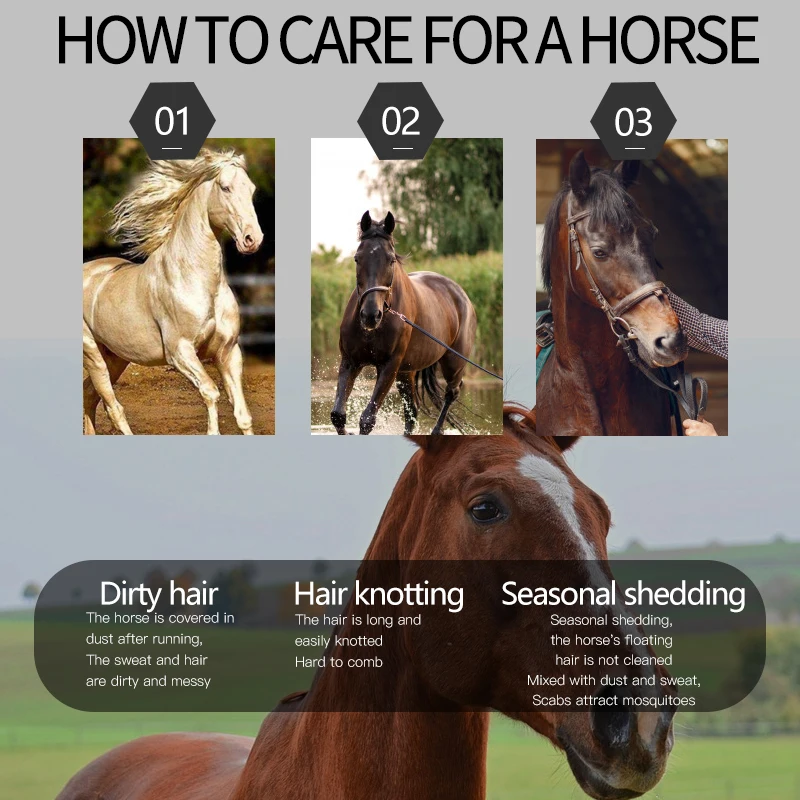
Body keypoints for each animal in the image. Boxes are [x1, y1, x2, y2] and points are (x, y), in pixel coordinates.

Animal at [82, 149, 263, 435]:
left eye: (252, 189)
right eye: (225, 187)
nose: (252, 239)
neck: (197, 282)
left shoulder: (228, 352)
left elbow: (243, 415)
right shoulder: (180, 352)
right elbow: (210, 392)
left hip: (116, 357)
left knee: (89, 394)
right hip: (93, 354)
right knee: (113, 407)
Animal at [330, 211, 478, 435]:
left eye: (391, 260)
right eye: (357, 258)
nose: (370, 315)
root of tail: (461, 294)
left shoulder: (389, 366)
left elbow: (367, 419)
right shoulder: (350, 361)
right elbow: (338, 415)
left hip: (453, 362)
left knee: (451, 393)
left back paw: (437, 431)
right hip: (406, 372)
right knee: (412, 413)